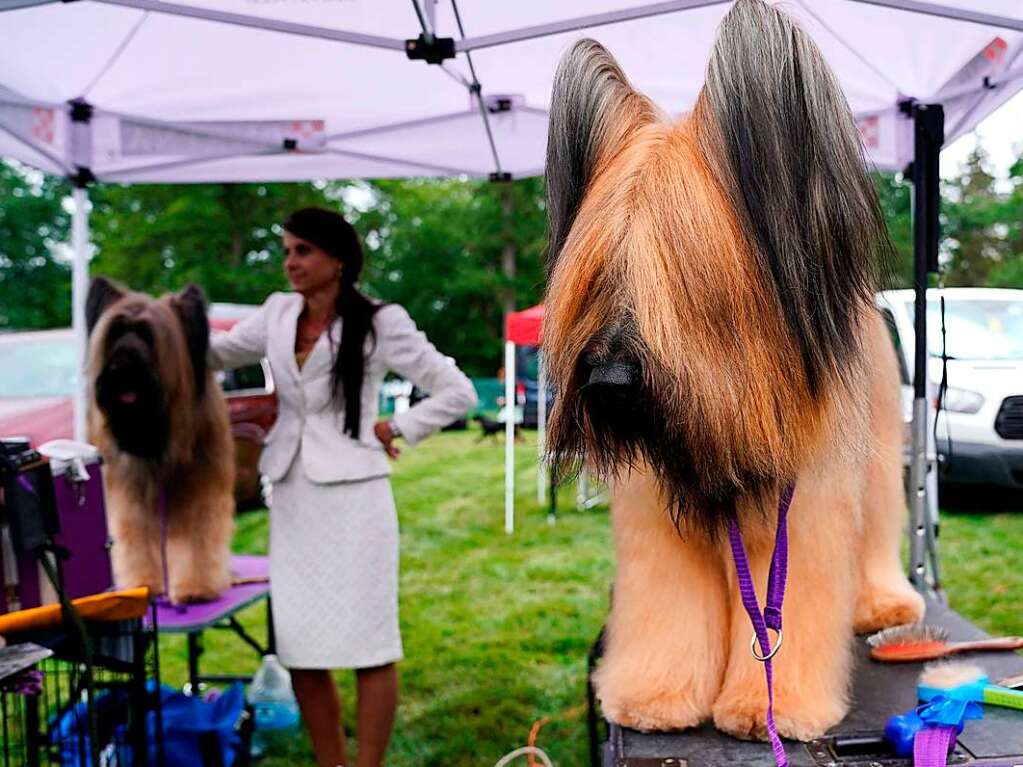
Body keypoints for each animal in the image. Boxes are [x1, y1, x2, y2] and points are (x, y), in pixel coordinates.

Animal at [85, 278, 234, 605]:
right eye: (115, 333)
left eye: (146, 334)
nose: (120, 368)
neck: (154, 430)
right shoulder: (129, 491)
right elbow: (136, 536)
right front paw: (143, 583)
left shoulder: (199, 485)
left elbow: (195, 538)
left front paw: (195, 588)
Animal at [544, 0, 928, 744]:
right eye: (601, 273)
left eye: (683, 277)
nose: (608, 383)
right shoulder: (656, 522)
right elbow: (666, 605)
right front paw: (655, 695)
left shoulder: (800, 511)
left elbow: (792, 610)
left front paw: (769, 706)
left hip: (873, 444)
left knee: (875, 526)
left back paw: (882, 604)